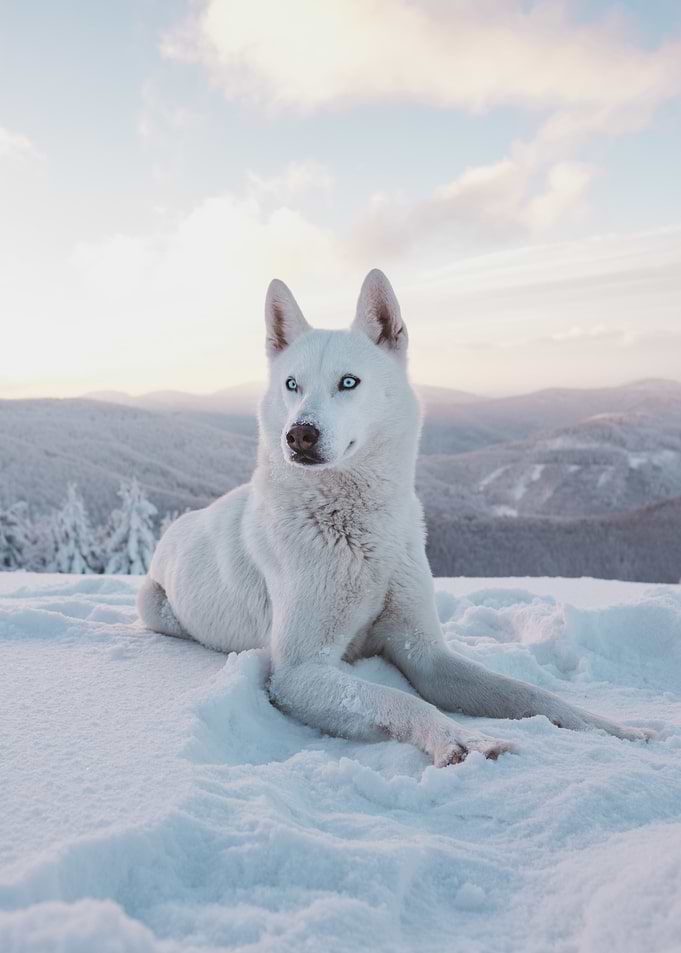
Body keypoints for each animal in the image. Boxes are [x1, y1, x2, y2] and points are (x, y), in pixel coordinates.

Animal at [138, 269, 649, 765]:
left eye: (348, 382)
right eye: (291, 385)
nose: (299, 435)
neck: (359, 532)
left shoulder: (425, 654)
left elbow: (529, 693)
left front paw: (611, 728)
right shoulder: (300, 672)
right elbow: (399, 699)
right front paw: (462, 740)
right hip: (155, 606)